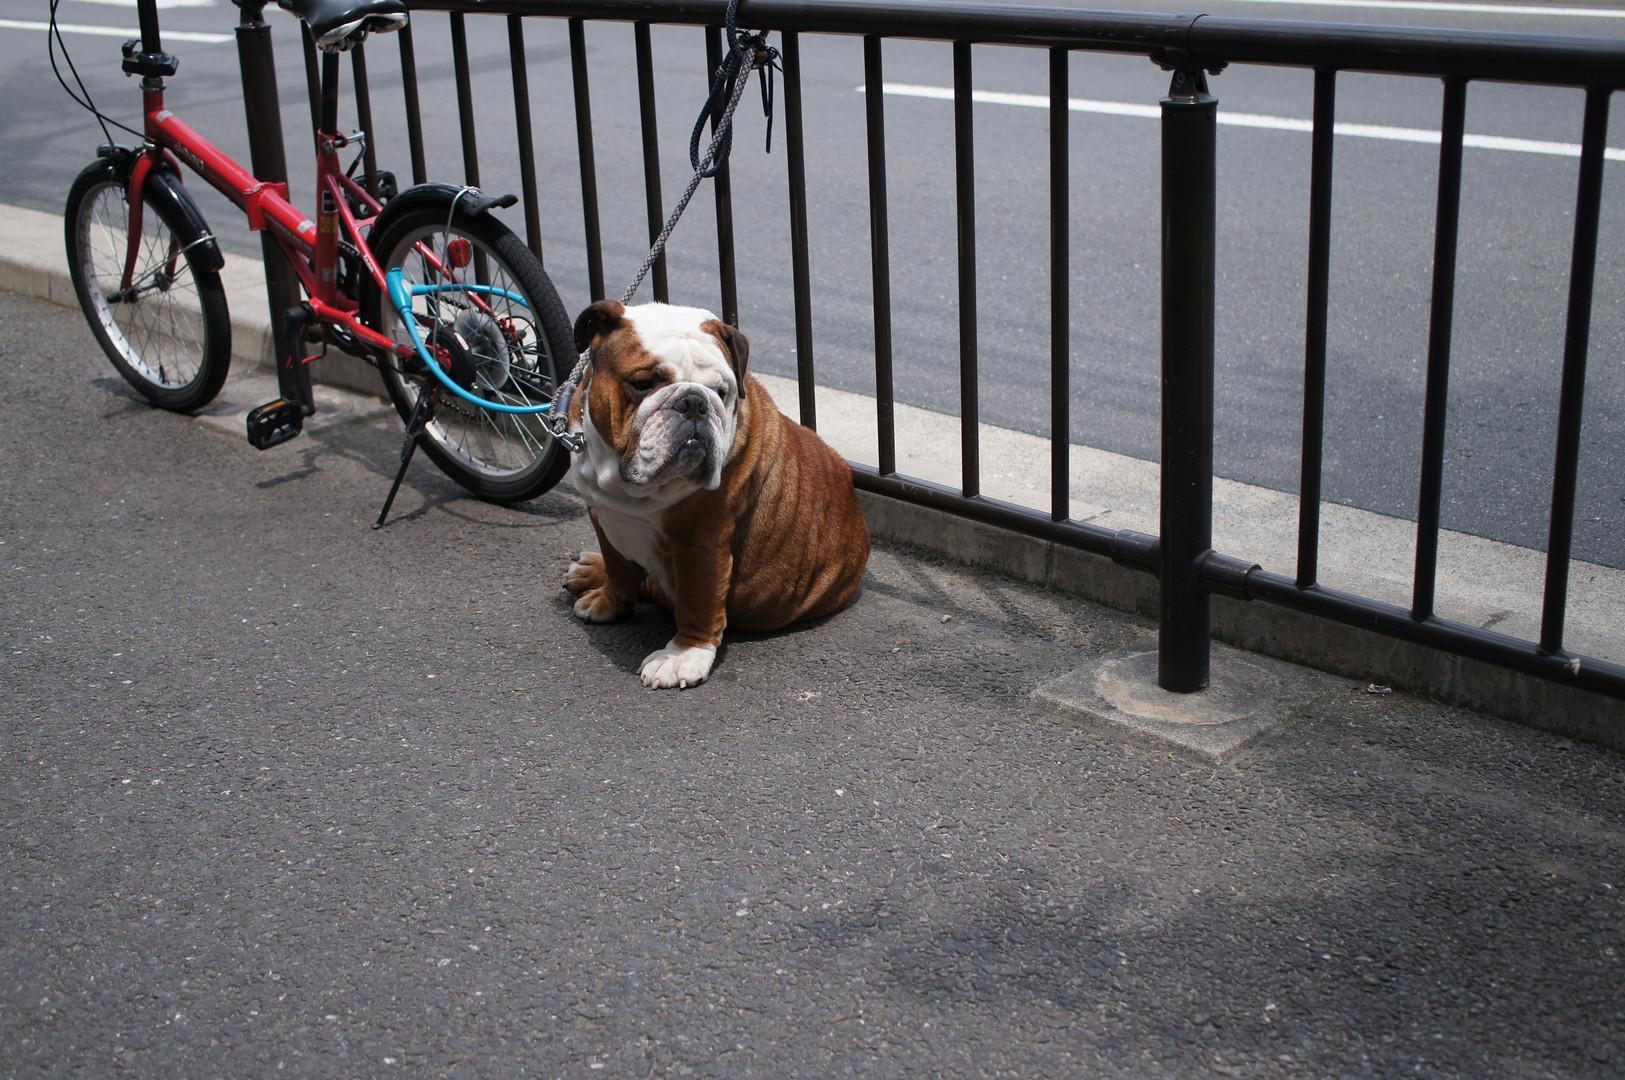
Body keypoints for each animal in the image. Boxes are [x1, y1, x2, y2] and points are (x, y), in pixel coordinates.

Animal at [563, 300, 870, 689]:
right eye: (643, 384)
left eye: (721, 391)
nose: (695, 401)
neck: (628, 485)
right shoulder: (602, 515)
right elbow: (618, 566)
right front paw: (608, 600)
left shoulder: (700, 541)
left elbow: (698, 600)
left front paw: (682, 656)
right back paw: (591, 570)